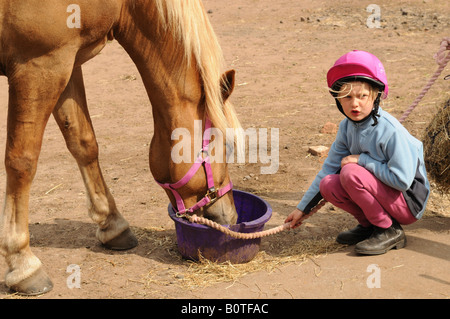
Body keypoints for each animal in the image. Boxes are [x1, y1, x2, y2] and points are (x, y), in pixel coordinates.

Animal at [0, 0, 243, 296]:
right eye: (226, 147)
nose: (230, 216)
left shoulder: (67, 61)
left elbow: (83, 142)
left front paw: (112, 224)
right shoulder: (40, 64)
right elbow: (22, 161)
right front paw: (22, 263)